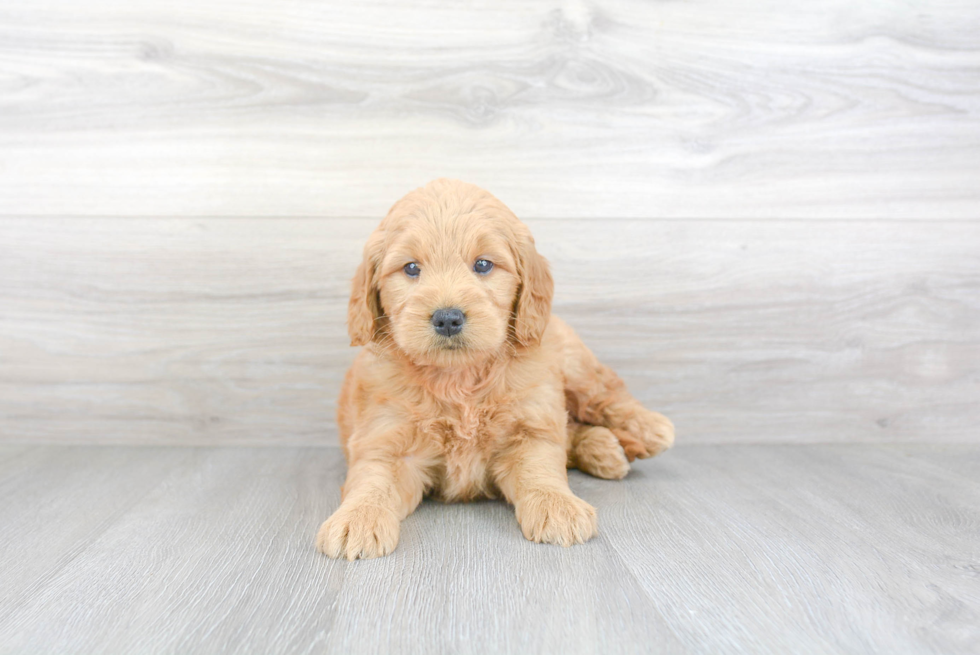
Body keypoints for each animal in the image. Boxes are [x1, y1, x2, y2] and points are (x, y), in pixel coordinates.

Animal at [316, 178, 672, 560]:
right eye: (411, 268)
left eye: (483, 264)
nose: (448, 318)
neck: (459, 379)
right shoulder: (385, 442)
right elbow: (372, 480)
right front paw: (358, 518)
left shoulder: (530, 429)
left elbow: (541, 469)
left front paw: (558, 506)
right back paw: (605, 448)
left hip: (573, 364)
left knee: (603, 393)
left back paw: (649, 430)